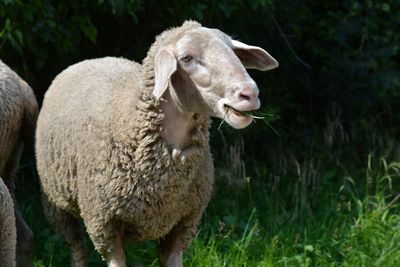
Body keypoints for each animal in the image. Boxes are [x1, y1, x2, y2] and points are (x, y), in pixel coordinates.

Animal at [35, 21, 278, 267]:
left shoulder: (182, 224)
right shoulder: (106, 227)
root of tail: (93, 59)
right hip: (58, 206)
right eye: (186, 57)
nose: (250, 94)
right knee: (77, 248)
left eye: (234, 52)